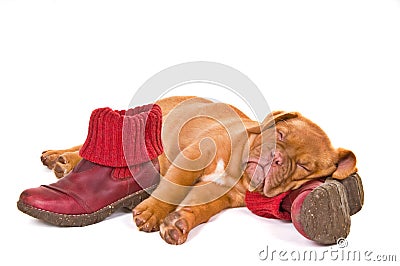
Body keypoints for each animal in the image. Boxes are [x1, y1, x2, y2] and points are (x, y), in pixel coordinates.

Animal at [42, 96, 358, 245]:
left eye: (303, 166)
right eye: (279, 135)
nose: (277, 157)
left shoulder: (216, 194)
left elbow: (198, 208)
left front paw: (179, 222)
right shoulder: (193, 157)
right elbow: (171, 188)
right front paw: (153, 211)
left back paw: (60, 160)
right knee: (90, 145)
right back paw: (62, 158)